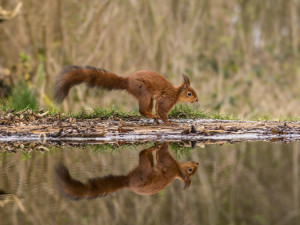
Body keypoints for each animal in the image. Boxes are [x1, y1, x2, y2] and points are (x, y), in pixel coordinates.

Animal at [54, 66, 198, 125]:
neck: (176, 93)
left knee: (146, 110)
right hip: (143, 93)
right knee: (141, 111)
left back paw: (153, 117)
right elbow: (162, 111)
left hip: (149, 98)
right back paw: (152, 116)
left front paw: (160, 120)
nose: (197, 99)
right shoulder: (167, 99)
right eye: (189, 93)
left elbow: (158, 109)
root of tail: (127, 81)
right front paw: (169, 123)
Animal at [55, 142, 199, 199]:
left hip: (144, 170)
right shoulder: (169, 166)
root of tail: (128, 182)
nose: (197, 162)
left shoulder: (168, 165)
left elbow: (162, 154)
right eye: (190, 170)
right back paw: (151, 149)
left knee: (143, 155)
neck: (176, 170)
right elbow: (162, 153)